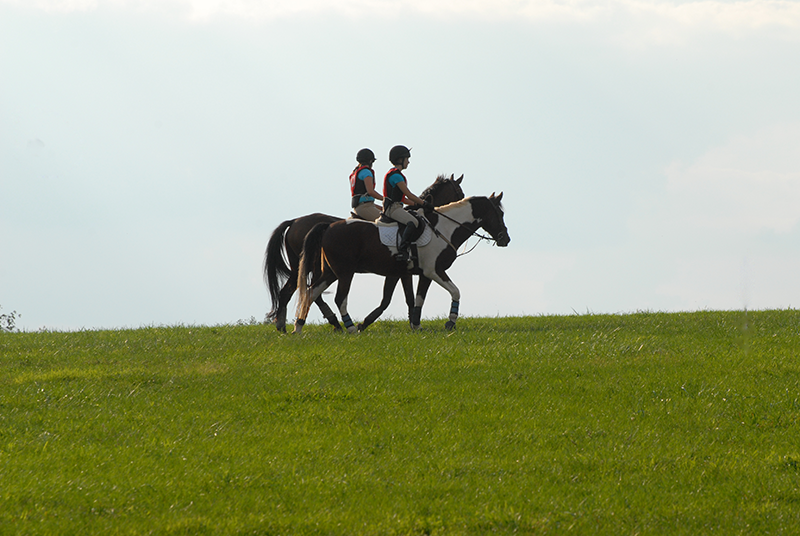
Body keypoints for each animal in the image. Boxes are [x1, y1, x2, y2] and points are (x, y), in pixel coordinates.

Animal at [262, 174, 466, 330]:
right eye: (459, 193)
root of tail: (295, 221)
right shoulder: (404, 270)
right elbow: (404, 298)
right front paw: (412, 322)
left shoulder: (399, 271)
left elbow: (397, 298)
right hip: (312, 268)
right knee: (301, 292)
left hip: (307, 268)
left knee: (295, 292)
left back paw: (289, 325)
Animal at [296, 195, 512, 332]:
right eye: (499, 215)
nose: (506, 239)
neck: (445, 228)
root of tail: (329, 226)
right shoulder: (434, 271)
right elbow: (455, 291)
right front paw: (450, 322)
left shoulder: (420, 274)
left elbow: (417, 299)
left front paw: (416, 325)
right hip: (345, 273)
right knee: (339, 298)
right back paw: (349, 328)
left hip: (331, 272)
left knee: (311, 292)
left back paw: (298, 328)